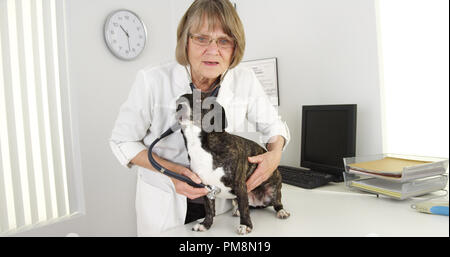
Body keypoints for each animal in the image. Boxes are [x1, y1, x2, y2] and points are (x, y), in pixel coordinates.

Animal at [174, 90, 290, 234]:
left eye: (198, 100)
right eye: (178, 101)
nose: (179, 107)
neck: (200, 144)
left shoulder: (240, 185)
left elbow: (244, 208)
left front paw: (245, 225)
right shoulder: (206, 189)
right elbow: (209, 210)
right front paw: (206, 224)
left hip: (272, 191)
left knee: (275, 202)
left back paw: (281, 211)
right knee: (244, 205)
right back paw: (237, 211)